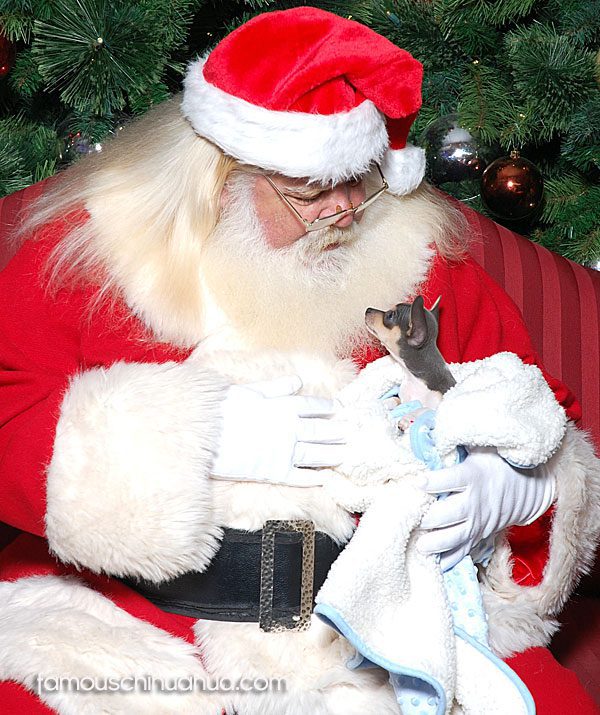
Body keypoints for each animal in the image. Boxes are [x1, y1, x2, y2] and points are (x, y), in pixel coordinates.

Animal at [364, 296, 458, 430]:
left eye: (390, 315)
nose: (368, 309)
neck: (415, 380)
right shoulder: (402, 399)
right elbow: (395, 399)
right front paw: (383, 403)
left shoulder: (439, 405)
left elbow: (425, 409)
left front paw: (409, 417)